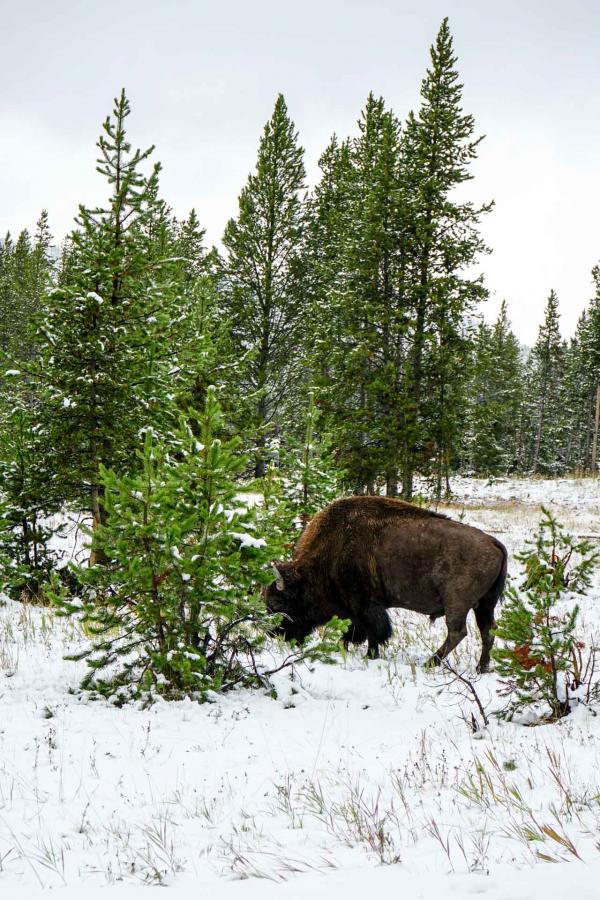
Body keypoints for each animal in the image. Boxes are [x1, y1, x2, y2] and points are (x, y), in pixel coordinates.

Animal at [266, 496, 506, 672]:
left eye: (277, 604)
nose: (275, 635)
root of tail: (494, 542)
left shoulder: (366, 605)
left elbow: (375, 633)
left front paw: (370, 656)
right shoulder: (357, 610)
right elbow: (356, 633)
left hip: (457, 604)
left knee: (458, 632)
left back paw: (430, 663)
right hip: (485, 605)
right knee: (487, 632)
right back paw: (481, 668)